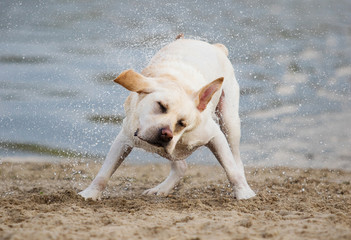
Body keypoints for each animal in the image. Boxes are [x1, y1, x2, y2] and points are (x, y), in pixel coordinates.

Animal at [79, 36, 256, 201]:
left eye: (182, 123)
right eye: (161, 106)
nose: (166, 134)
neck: (178, 84)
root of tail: (216, 47)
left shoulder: (213, 135)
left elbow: (231, 170)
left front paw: (244, 194)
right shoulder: (125, 138)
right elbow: (104, 172)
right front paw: (90, 194)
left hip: (229, 121)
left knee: (236, 160)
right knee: (180, 166)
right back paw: (161, 189)